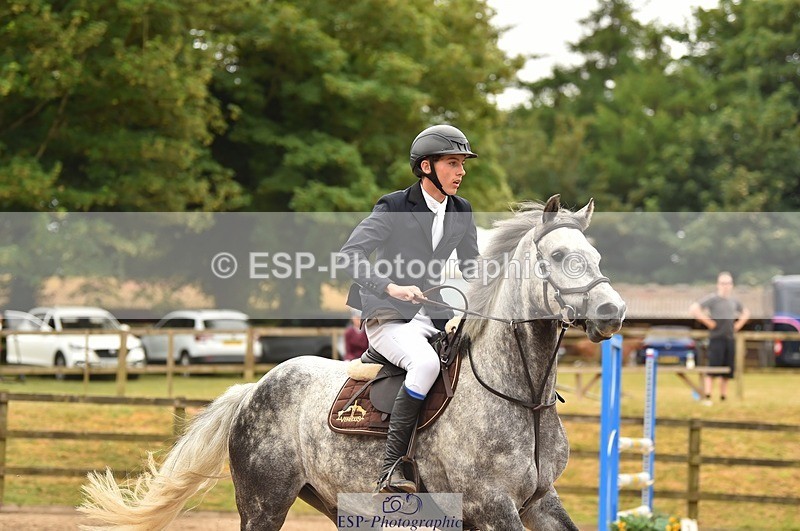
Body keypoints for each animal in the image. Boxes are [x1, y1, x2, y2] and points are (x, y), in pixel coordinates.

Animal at [79, 195, 626, 530]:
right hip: (263, 502)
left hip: (337, 499)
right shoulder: (492, 505)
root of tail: (254, 389)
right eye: (559, 257)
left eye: (596, 255)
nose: (612, 312)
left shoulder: (540, 501)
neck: (520, 395)